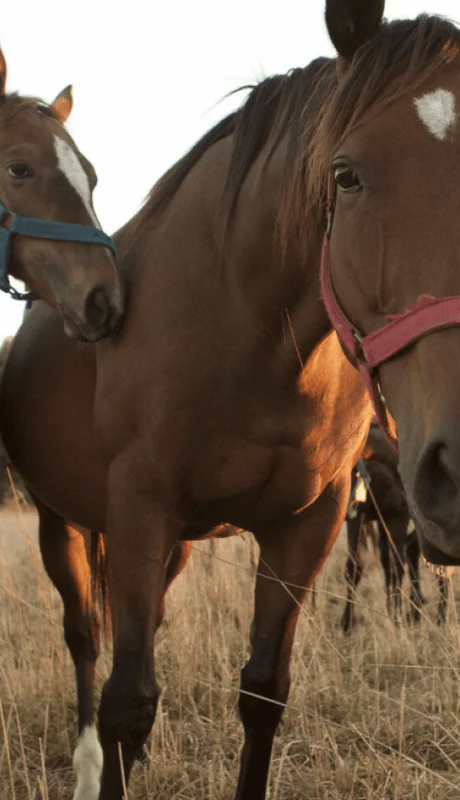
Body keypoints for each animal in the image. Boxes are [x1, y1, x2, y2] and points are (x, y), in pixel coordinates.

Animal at [342, 426, 448, 632]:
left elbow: (398, 564)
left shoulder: (400, 514)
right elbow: (355, 565)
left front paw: (398, 619)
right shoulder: (359, 514)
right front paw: (347, 622)